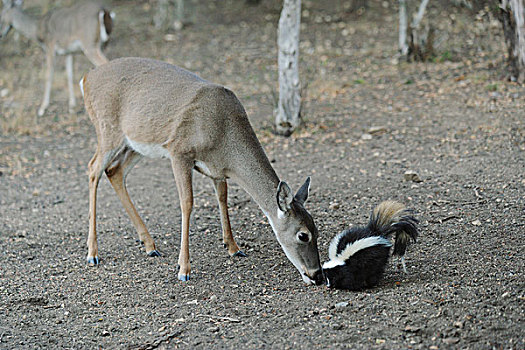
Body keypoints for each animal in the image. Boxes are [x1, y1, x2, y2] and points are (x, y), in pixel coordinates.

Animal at [80, 57, 324, 286]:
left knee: (114, 171)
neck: (224, 136)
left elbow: (223, 198)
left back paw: (150, 245)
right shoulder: (179, 150)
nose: (317, 276)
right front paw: (183, 269)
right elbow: (187, 203)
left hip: (135, 144)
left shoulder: (217, 169)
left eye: (317, 229)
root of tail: (86, 79)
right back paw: (93, 253)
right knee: (93, 168)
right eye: (303, 235)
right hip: (108, 130)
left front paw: (233, 247)